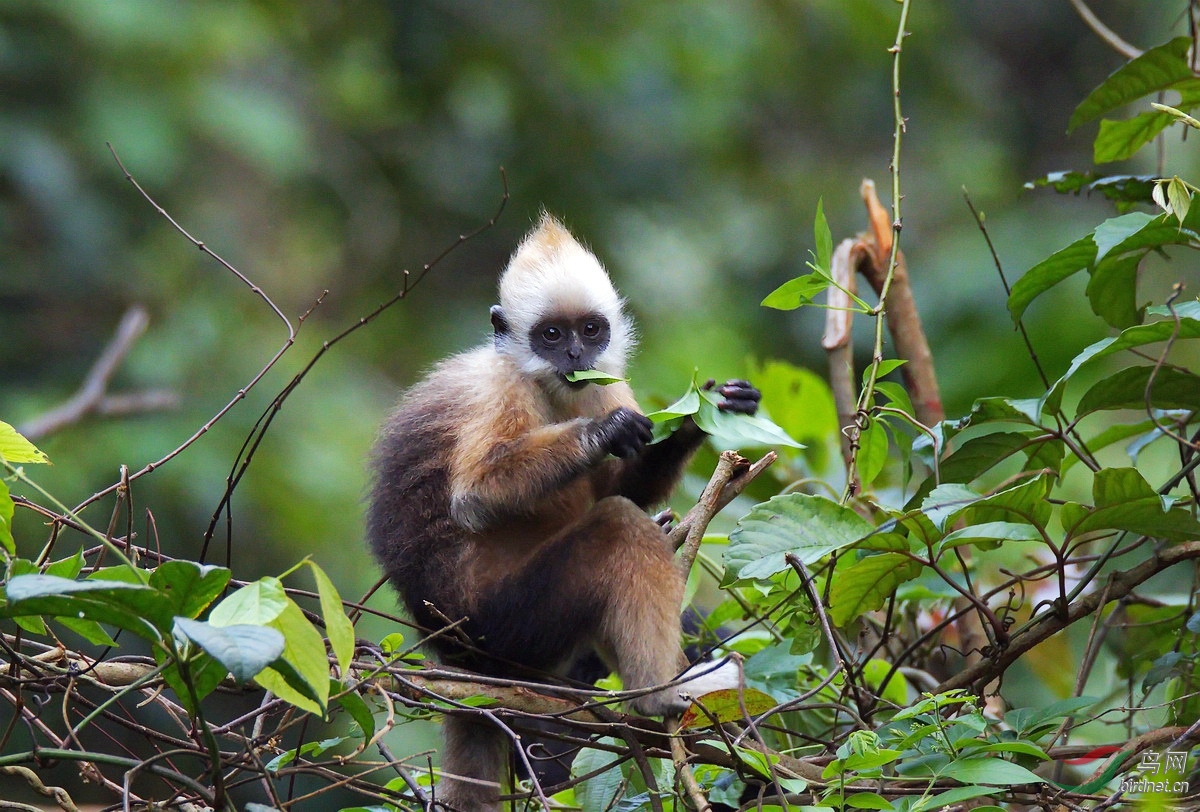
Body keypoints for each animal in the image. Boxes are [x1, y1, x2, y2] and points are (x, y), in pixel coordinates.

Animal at [364, 215, 758, 810]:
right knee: (617, 527)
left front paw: (697, 416)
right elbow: (476, 496)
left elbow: (623, 481)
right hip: (508, 621)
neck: (543, 382)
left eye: (590, 331)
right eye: (551, 335)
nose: (576, 357)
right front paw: (605, 433)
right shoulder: (502, 390)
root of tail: (456, 657)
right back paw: (656, 698)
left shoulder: (600, 385)